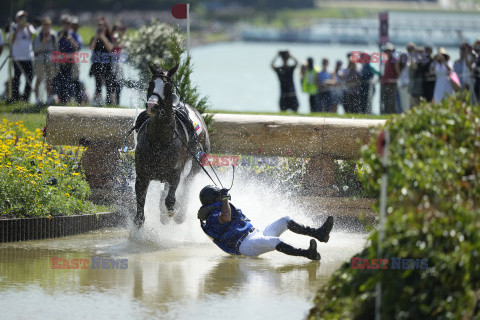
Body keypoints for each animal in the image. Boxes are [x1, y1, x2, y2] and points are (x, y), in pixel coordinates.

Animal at [134, 63, 211, 226]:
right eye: (150, 84)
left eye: (168, 87)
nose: (151, 105)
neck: (159, 141)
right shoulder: (142, 176)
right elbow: (140, 212)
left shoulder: (175, 173)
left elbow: (170, 200)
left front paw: (171, 212)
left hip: (198, 160)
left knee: (188, 181)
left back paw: (180, 213)